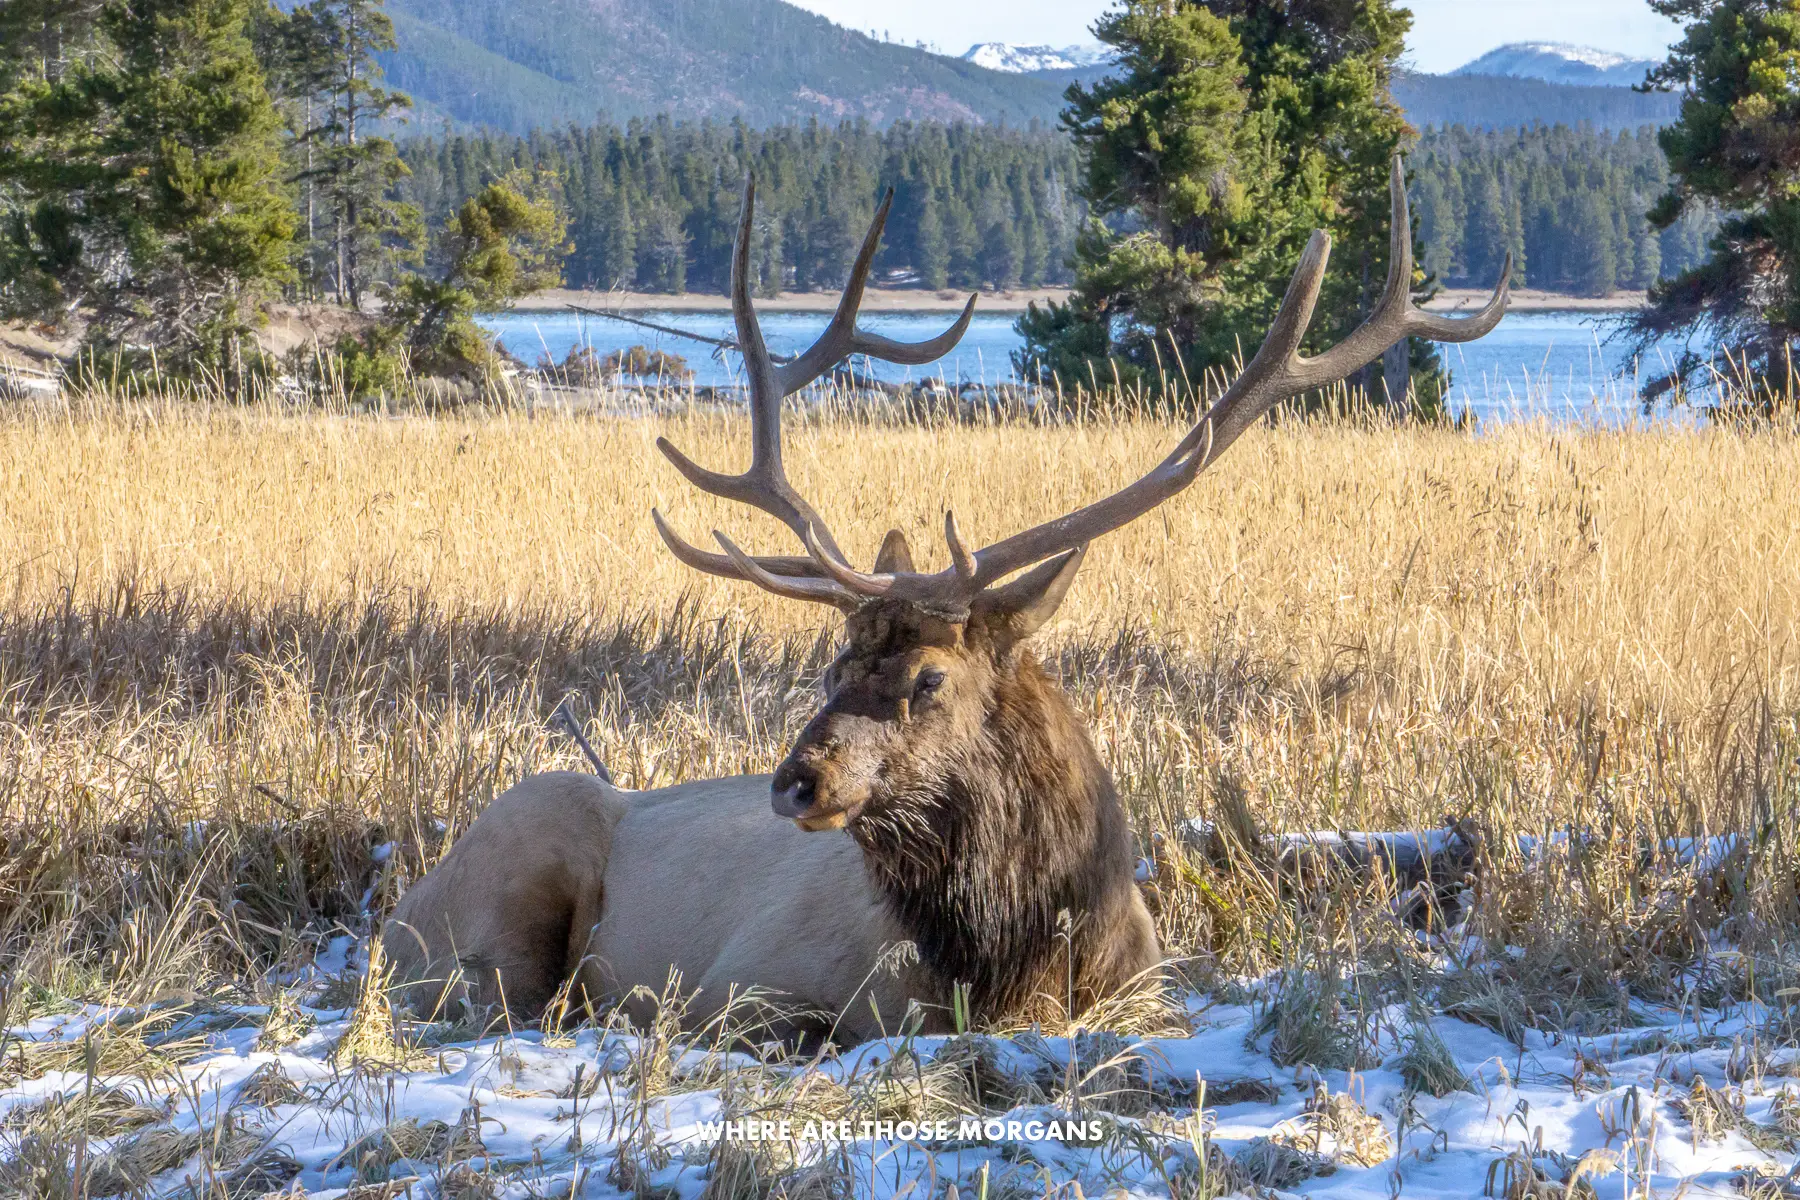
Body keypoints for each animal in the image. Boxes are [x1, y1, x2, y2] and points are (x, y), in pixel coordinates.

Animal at [385, 159, 1509, 1043]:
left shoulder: (1152, 995)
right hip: (521, 852)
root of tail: (394, 912)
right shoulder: (744, 989)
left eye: (928, 677)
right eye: (833, 666)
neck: (1022, 962)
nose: (795, 781)